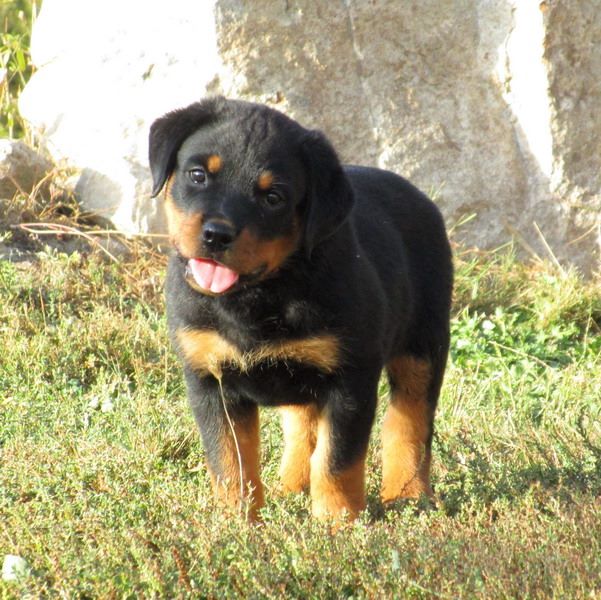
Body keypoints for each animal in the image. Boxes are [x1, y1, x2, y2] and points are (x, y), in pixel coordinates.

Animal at [148, 97, 452, 521]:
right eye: (197, 175)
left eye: (273, 198)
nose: (216, 235)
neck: (257, 296)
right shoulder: (210, 379)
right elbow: (230, 461)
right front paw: (235, 521)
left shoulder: (350, 380)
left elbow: (336, 459)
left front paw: (338, 523)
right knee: (301, 424)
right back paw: (290, 486)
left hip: (423, 346)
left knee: (409, 421)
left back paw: (408, 495)